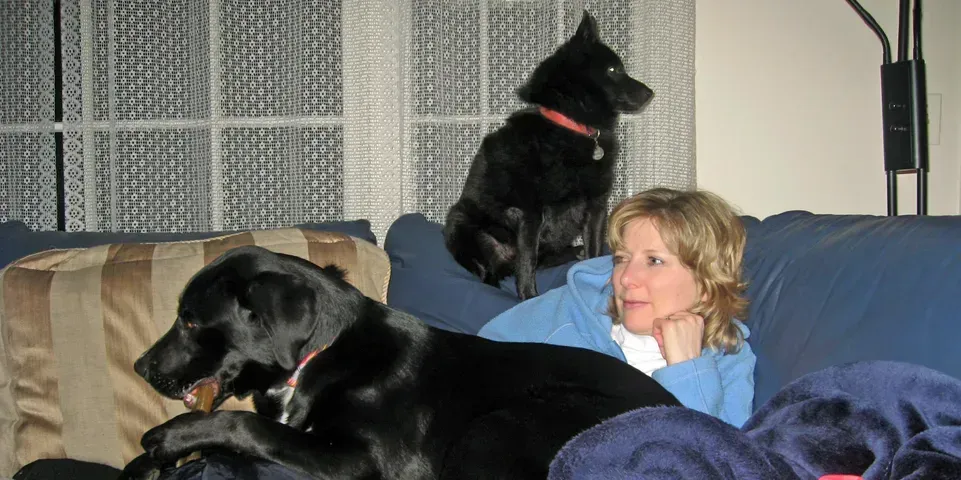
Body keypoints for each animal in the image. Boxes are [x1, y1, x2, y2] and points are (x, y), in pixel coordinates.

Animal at [120, 248, 680, 480]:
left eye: (190, 320)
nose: (140, 368)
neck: (320, 357)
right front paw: (146, 465)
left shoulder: (362, 460)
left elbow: (248, 426)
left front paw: (170, 437)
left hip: (501, 425)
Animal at [442, 10, 652, 300]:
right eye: (614, 70)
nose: (651, 93)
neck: (572, 127)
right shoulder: (530, 213)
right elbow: (527, 261)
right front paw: (529, 298)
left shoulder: (596, 206)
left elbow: (595, 251)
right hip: (460, 222)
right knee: (490, 272)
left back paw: (575, 252)